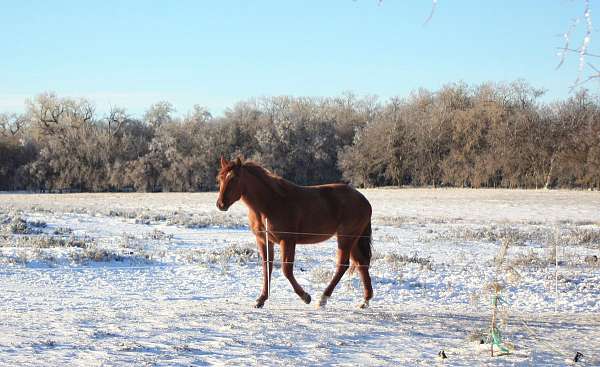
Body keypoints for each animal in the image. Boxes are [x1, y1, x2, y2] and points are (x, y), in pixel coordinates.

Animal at [216, 157, 376, 310]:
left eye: (234, 178)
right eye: (220, 178)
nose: (220, 204)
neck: (270, 203)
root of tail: (364, 201)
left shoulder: (287, 241)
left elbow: (286, 270)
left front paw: (305, 297)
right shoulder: (263, 241)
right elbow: (266, 268)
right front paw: (261, 299)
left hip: (345, 238)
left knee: (343, 265)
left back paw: (323, 299)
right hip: (353, 240)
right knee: (361, 264)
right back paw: (365, 301)